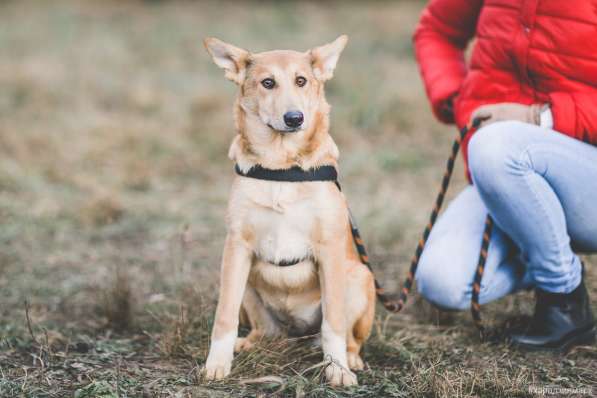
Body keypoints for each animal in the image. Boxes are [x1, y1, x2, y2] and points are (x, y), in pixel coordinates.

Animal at [203, 35, 374, 388]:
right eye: (268, 83)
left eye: (302, 81)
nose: (295, 118)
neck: (281, 166)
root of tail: (295, 333)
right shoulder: (236, 247)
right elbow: (224, 316)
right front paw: (216, 364)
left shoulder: (330, 249)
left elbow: (333, 324)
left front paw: (337, 369)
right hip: (246, 284)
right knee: (264, 330)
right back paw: (249, 342)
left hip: (358, 278)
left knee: (349, 336)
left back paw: (350, 358)